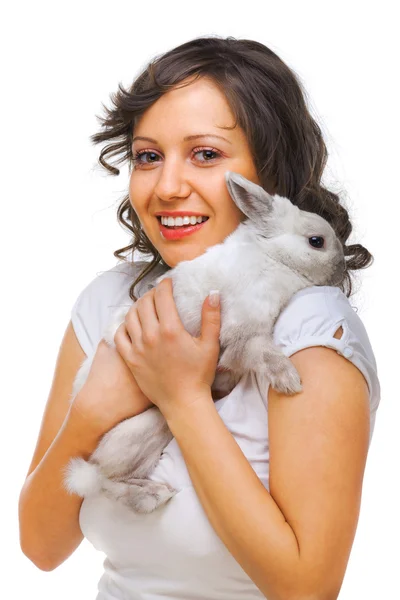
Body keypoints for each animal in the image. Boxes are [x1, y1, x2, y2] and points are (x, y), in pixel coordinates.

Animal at [64, 171, 346, 512]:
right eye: (316, 241)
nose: (341, 272)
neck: (273, 257)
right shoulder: (243, 331)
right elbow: (263, 353)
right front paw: (289, 381)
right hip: (140, 431)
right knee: (104, 482)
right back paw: (152, 495)